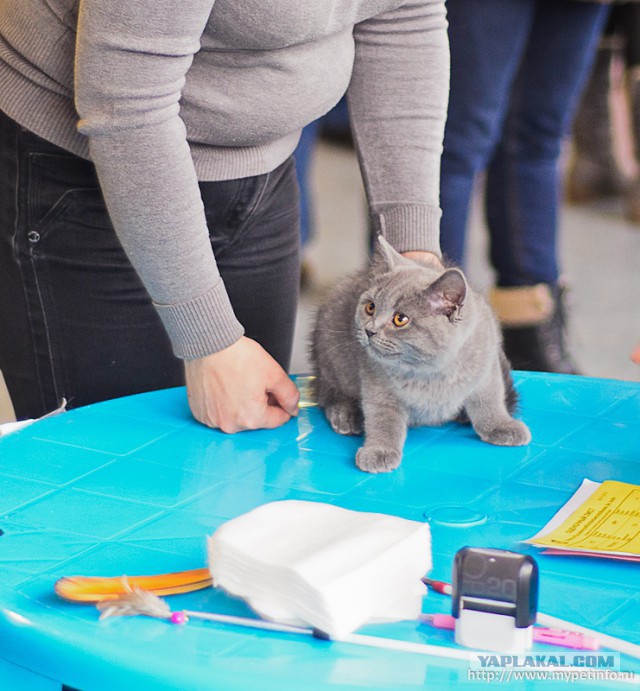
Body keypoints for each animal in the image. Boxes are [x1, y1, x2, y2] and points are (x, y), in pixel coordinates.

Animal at [310, 239, 528, 476]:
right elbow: (383, 418)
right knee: (328, 392)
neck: (431, 372)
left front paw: (501, 425)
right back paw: (346, 415)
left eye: (400, 319)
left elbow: (489, 399)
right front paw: (379, 450)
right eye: (370, 307)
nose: (369, 330)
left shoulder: (487, 366)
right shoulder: (377, 384)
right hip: (333, 357)